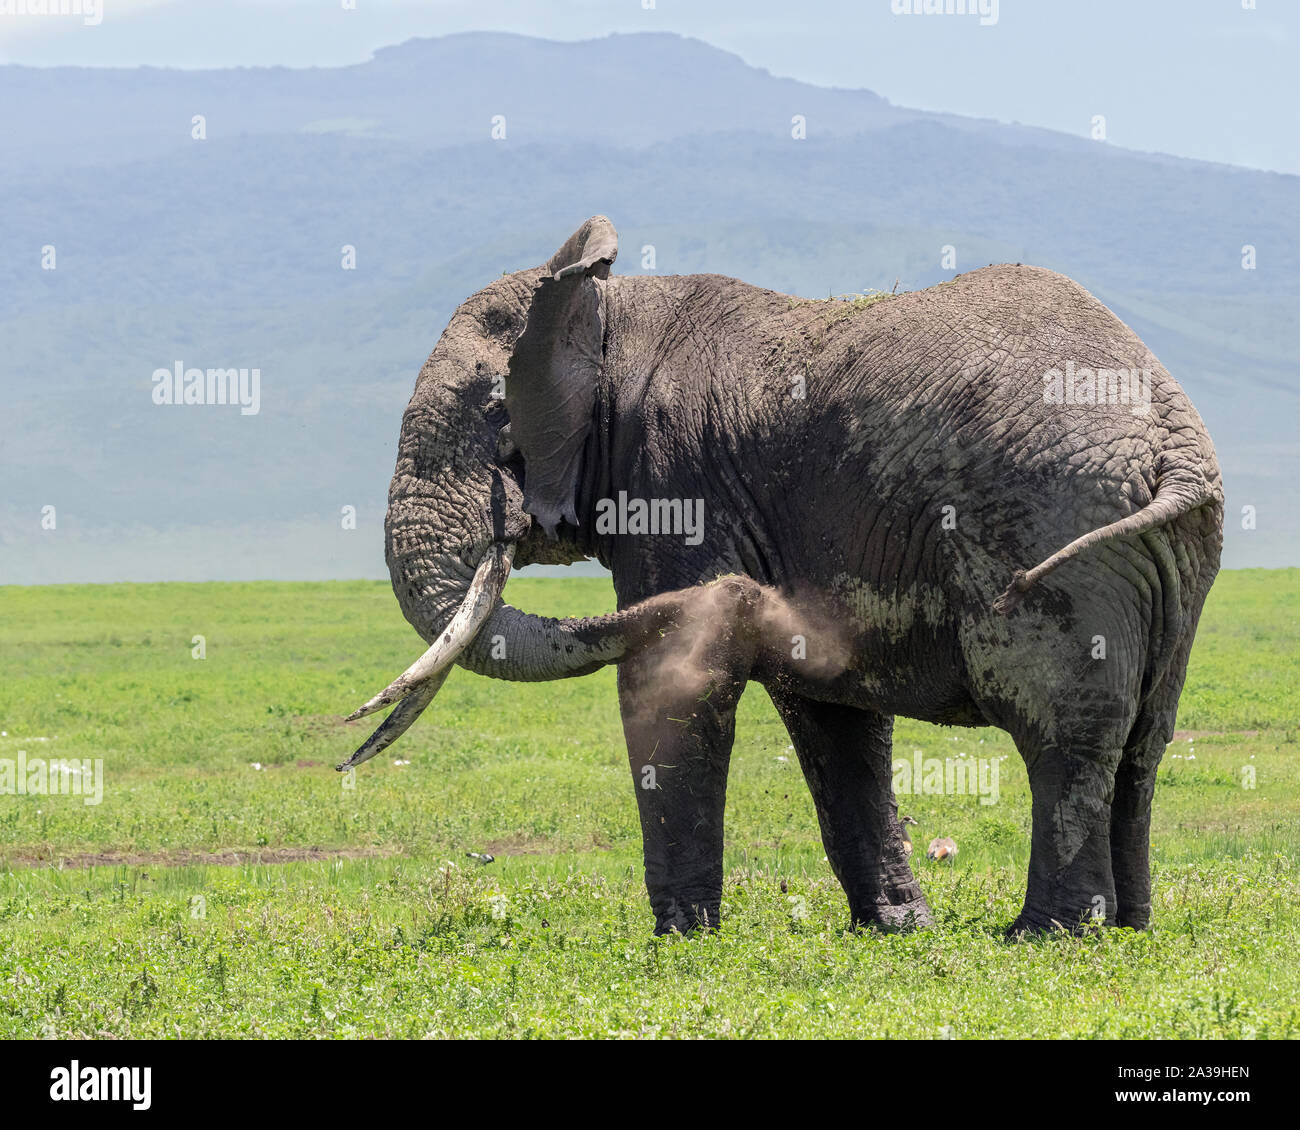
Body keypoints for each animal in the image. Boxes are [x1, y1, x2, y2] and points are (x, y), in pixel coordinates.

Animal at [339, 215, 1223, 938]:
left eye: (495, 413)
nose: (745, 590)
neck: (606, 305)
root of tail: (1170, 446)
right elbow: (829, 712)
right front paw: (897, 930)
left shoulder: (676, 480)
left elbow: (676, 681)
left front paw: (683, 940)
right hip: (1171, 559)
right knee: (1143, 741)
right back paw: (1128, 927)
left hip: (1056, 528)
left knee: (1061, 733)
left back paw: (1043, 935)